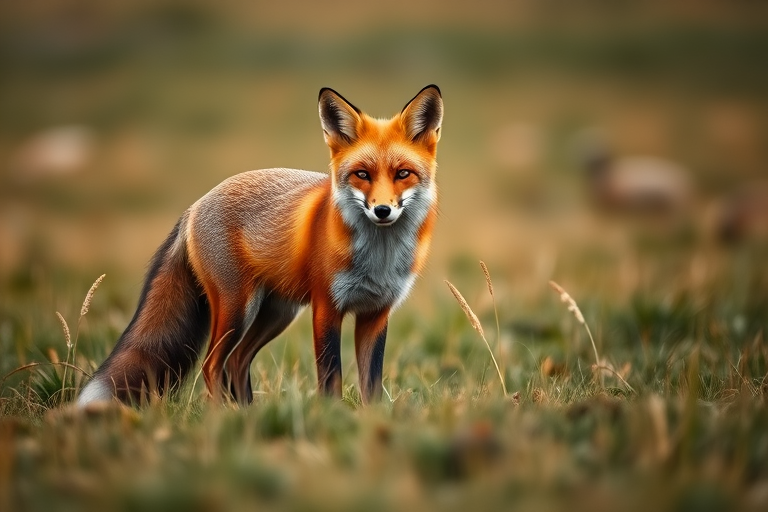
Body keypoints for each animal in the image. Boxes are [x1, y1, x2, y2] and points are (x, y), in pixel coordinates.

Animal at [77, 85, 443, 407]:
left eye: (403, 174)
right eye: (362, 175)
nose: (382, 210)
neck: (379, 257)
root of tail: (194, 206)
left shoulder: (376, 313)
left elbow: (372, 385)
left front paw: (368, 421)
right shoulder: (326, 308)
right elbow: (331, 377)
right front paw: (332, 417)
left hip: (276, 313)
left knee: (237, 360)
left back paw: (247, 412)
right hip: (238, 308)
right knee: (212, 364)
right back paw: (220, 417)